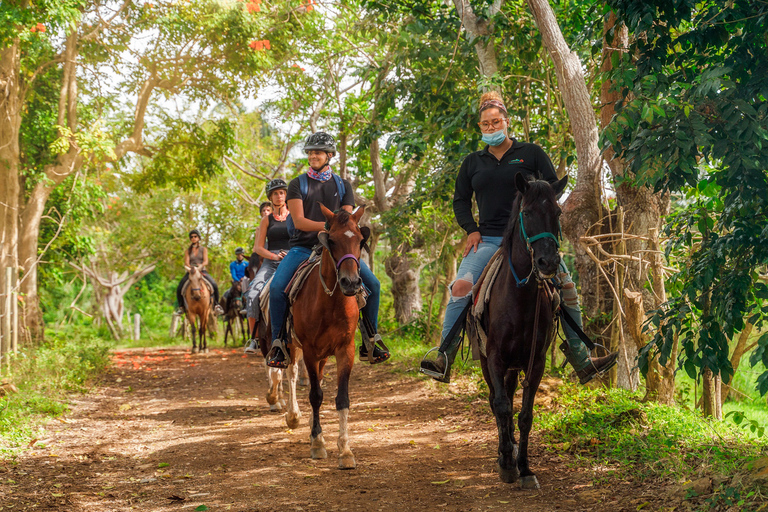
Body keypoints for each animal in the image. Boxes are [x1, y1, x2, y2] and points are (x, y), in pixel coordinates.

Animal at [284, 204, 370, 468]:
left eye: (360, 240)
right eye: (331, 240)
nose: (351, 283)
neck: (331, 302)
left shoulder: (345, 350)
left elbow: (342, 399)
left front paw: (345, 451)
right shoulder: (310, 351)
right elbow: (315, 396)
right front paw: (317, 443)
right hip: (292, 346)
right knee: (291, 373)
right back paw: (293, 416)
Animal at [474, 174, 568, 490]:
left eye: (558, 213)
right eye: (527, 213)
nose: (548, 262)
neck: (521, 296)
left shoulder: (535, 361)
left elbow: (525, 414)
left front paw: (524, 467)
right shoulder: (493, 357)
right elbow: (502, 406)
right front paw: (506, 463)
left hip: (514, 366)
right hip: (486, 362)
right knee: (496, 400)